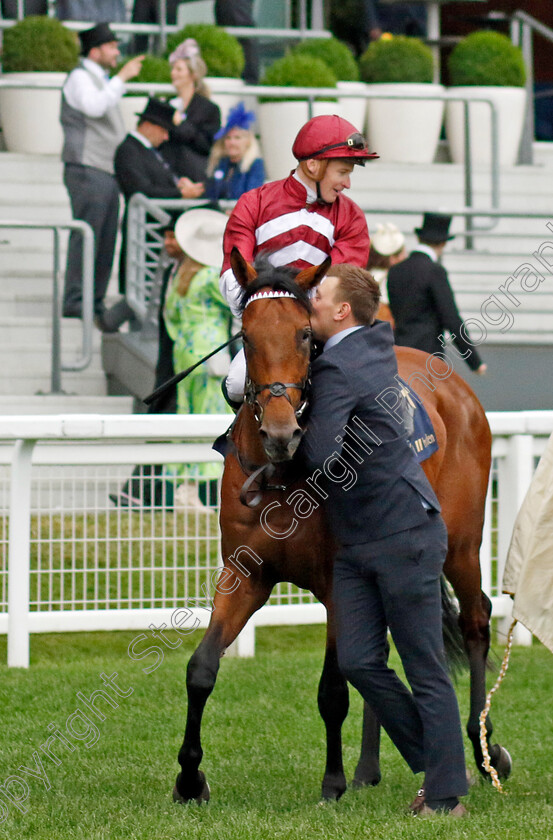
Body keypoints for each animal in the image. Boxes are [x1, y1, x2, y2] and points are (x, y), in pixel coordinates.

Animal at [175, 251, 512, 808]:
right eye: (246, 335)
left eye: (304, 335)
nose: (281, 432)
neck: (285, 476)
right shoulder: (245, 576)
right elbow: (201, 668)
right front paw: (188, 777)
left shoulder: (337, 584)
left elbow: (333, 689)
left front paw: (330, 782)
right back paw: (368, 768)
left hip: (461, 546)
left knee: (477, 620)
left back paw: (482, 748)